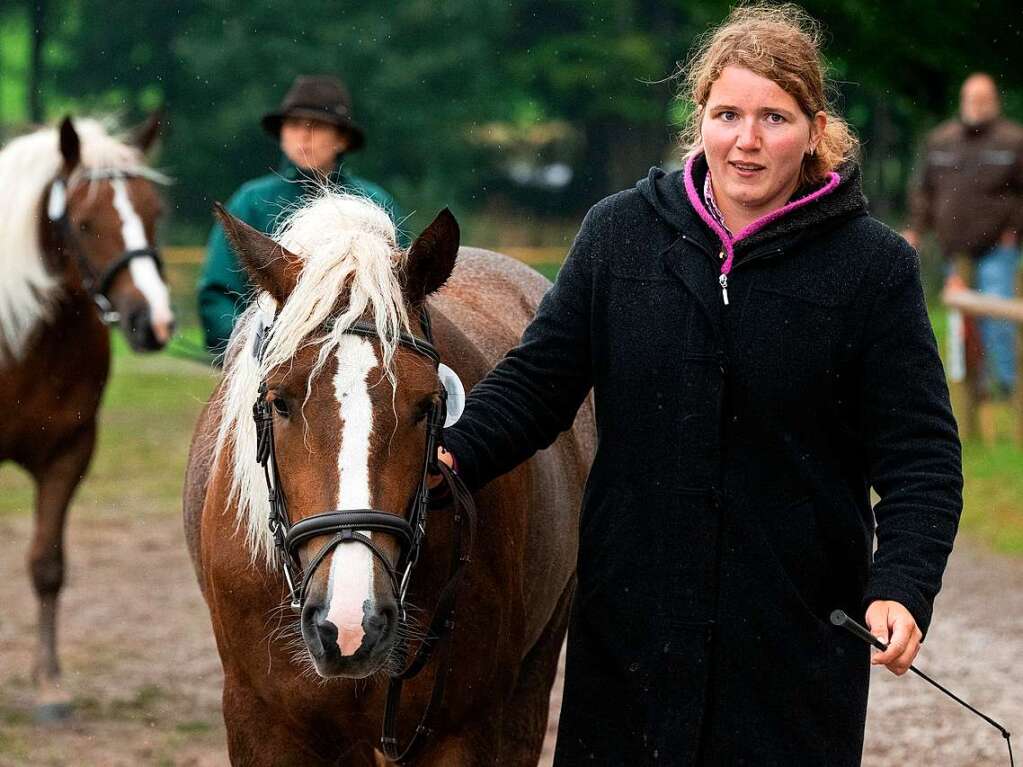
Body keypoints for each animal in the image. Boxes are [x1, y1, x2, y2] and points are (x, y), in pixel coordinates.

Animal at [0, 114, 172, 719]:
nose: (154, 322)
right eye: (83, 222)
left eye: (153, 212)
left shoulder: (69, 453)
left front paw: (50, 686)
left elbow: (48, 565)